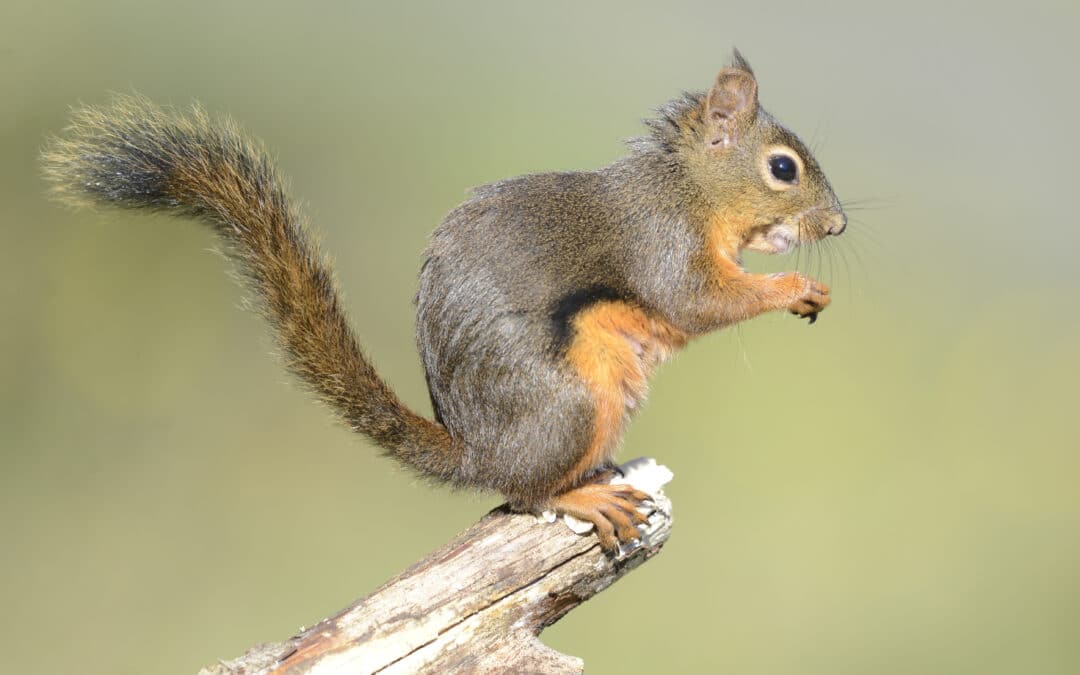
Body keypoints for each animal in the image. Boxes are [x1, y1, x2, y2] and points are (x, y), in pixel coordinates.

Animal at [42, 50, 845, 552]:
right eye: (783, 169)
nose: (836, 225)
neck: (689, 190)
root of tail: (476, 452)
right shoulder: (661, 245)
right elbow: (699, 302)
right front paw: (795, 288)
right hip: (569, 404)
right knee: (524, 495)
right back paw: (579, 496)